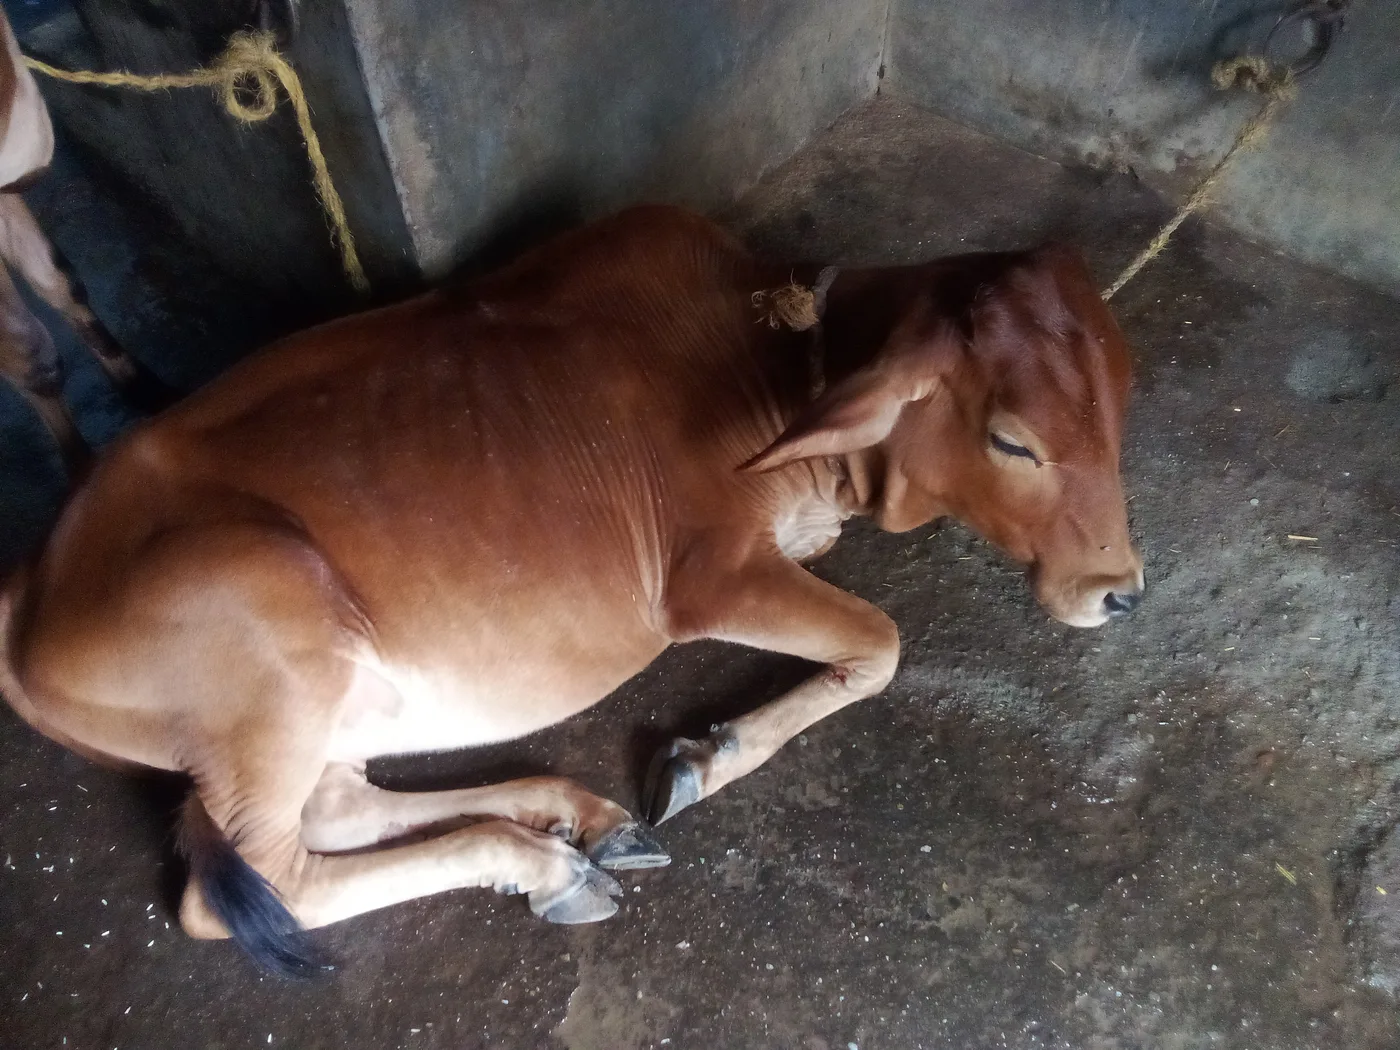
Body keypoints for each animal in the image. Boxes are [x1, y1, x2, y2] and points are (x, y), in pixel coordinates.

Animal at [0, 203, 1143, 974]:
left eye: (1120, 401)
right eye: (1012, 440)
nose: (1119, 592)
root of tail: (29, 585)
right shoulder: (706, 575)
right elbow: (882, 641)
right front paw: (709, 755)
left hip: (325, 711)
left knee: (339, 807)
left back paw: (567, 817)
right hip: (272, 642)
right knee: (248, 886)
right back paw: (546, 863)